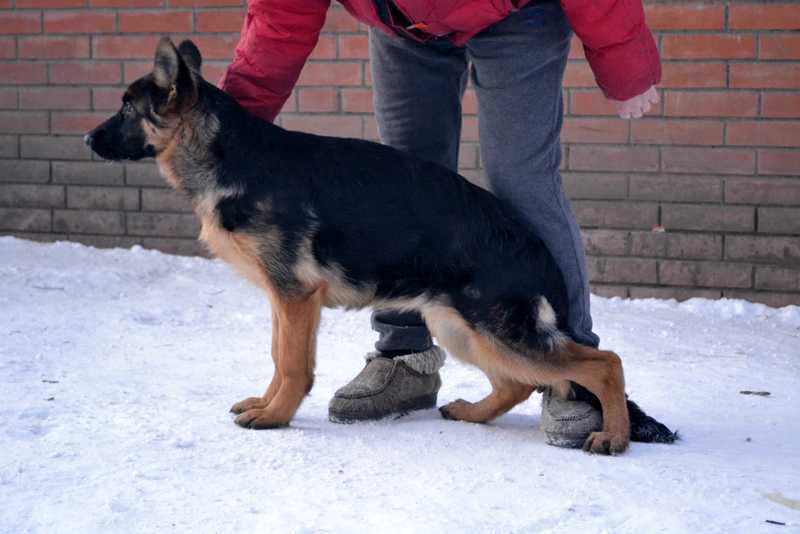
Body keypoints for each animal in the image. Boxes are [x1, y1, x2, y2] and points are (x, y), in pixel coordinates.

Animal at [86, 37, 676, 456]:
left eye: (126, 109)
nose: (87, 140)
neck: (227, 153)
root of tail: (532, 242)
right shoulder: (284, 299)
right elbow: (278, 356)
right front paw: (266, 402)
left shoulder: (295, 298)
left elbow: (293, 365)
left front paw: (276, 417)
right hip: (458, 328)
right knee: (515, 385)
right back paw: (472, 413)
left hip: (497, 330)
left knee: (603, 364)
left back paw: (612, 436)